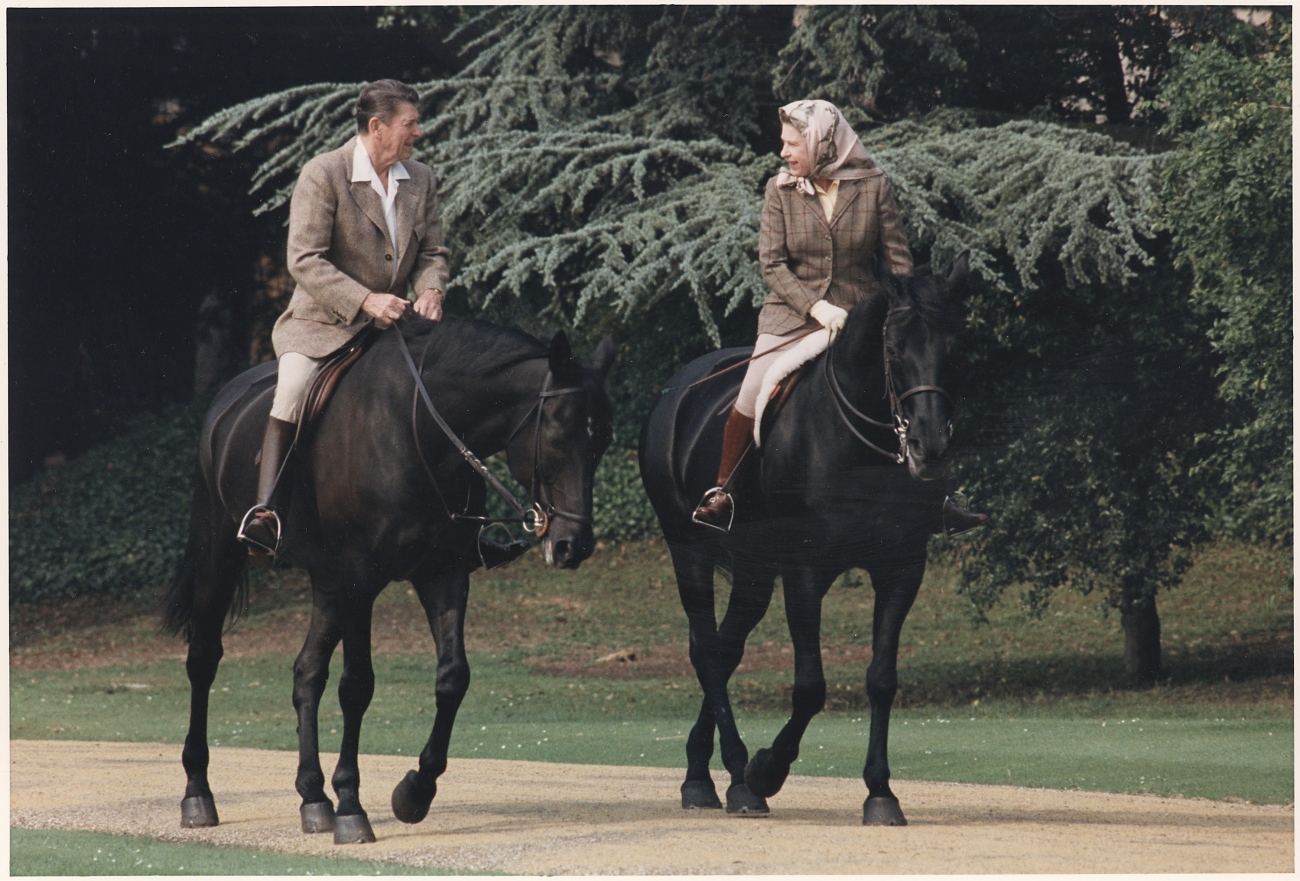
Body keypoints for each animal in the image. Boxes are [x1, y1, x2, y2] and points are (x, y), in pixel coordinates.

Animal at [161, 315, 613, 842]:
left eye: (603, 442)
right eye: (559, 436)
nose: (572, 546)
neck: (420, 431)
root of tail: (226, 400)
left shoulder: (442, 573)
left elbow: (452, 677)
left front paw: (414, 792)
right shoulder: (361, 579)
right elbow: (357, 686)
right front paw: (352, 807)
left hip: (327, 584)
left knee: (306, 674)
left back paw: (313, 798)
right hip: (222, 557)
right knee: (204, 660)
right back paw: (199, 793)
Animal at [634, 253, 972, 826]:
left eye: (954, 349)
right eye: (894, 350)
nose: (929, 449)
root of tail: (679, 386)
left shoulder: (902, 566)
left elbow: (882, 679)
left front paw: (880, 792)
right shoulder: (805, 570)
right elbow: (811, 687)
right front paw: (766, 771)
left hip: (753, 569)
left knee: (726, 647)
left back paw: (703, 772)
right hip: (689, 550)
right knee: (706, 650)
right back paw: (734, 778)